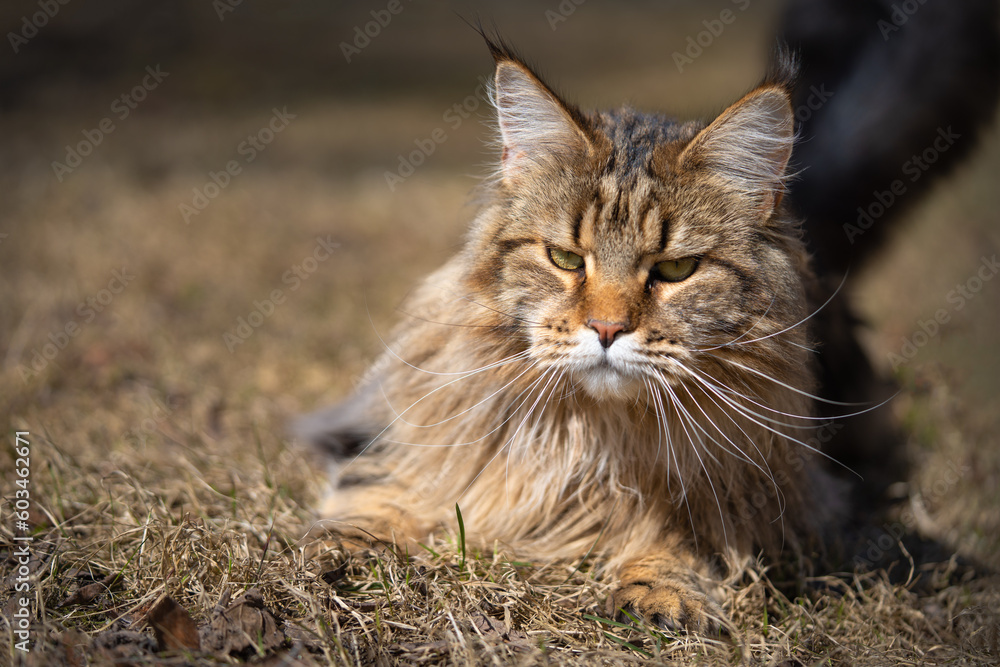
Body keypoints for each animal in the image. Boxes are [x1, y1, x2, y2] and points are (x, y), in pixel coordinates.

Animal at [295, 37, 840, 631]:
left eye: (676, 270)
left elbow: (681, 541)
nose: (606, 328)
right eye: (565, 259)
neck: (594, 435)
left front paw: (660, 593)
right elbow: (387, 488)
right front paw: (347, 545)